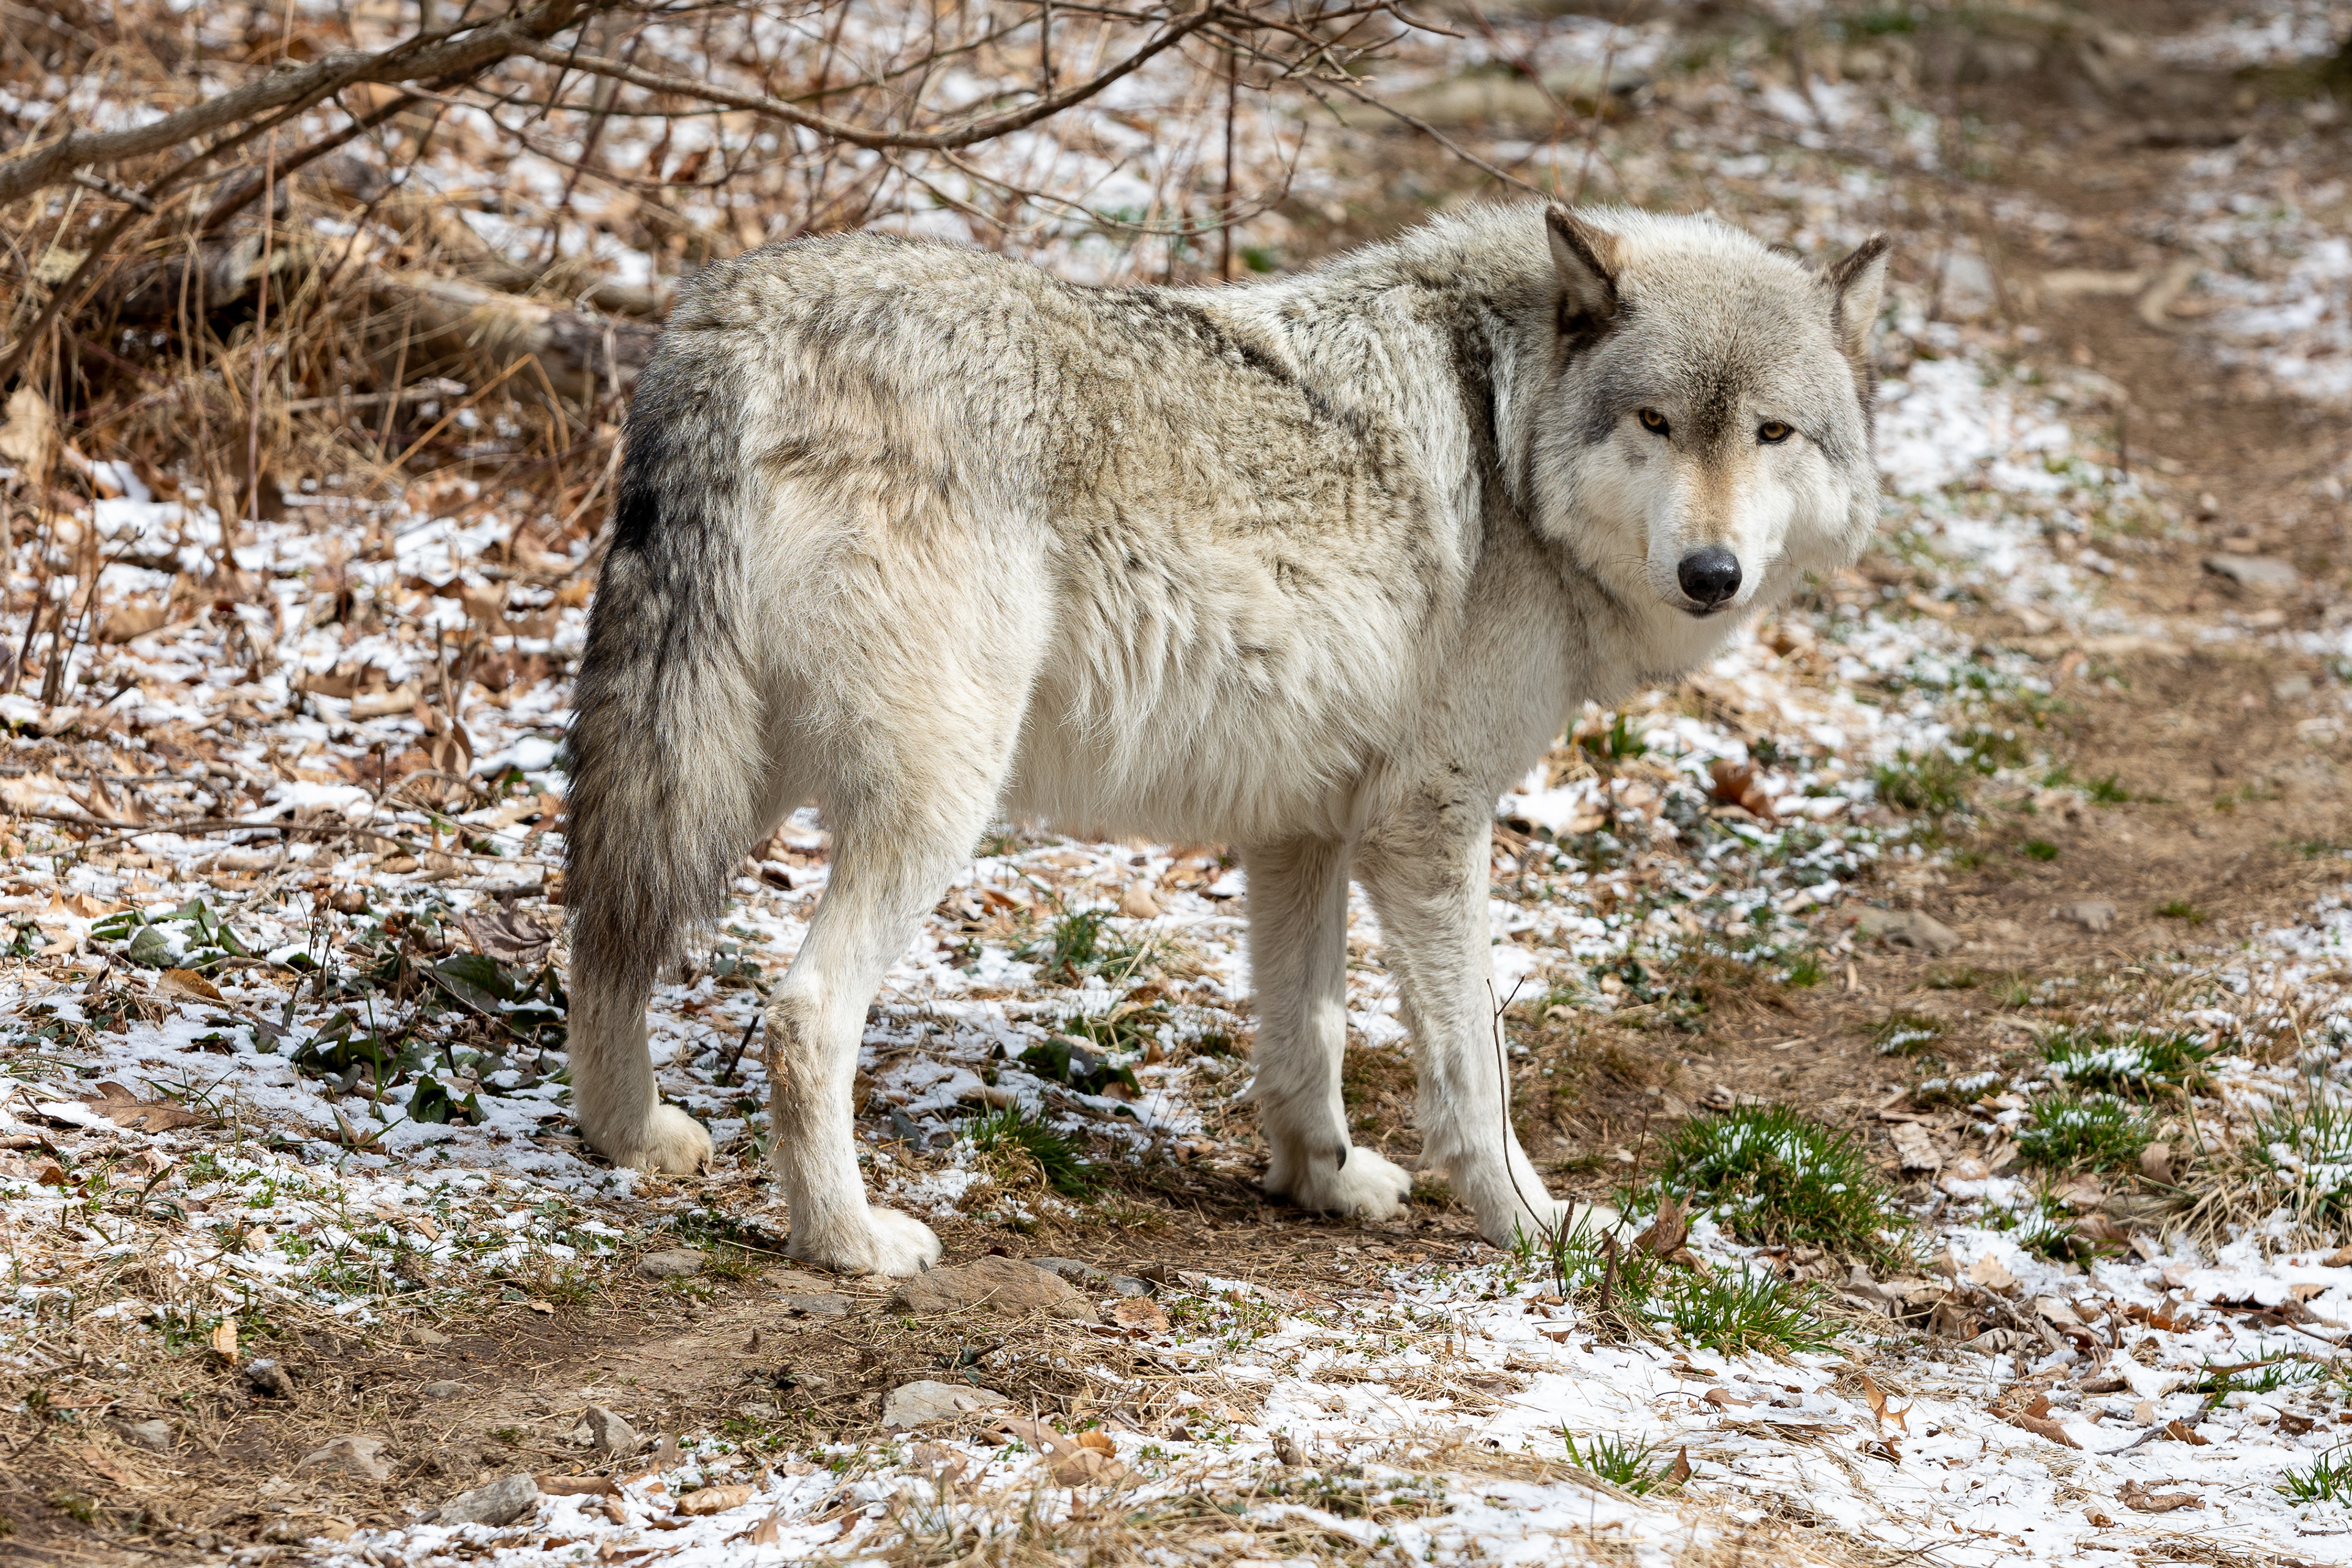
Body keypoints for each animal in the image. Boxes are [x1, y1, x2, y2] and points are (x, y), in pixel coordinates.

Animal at [561, 202, 1890, 1276]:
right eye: (1656, 421)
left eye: (1771, 433)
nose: (1712, 573)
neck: (1510, 440)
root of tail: (733, 318)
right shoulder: (1427, 823)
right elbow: (1474, 1068)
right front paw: (1534, 1226)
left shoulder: (1303, 826)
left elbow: (1310, 1030)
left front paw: (1323, 1181)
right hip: (932, 796)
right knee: (802, 1017)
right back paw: (848, 1244)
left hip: (725, 766)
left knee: (603, 931)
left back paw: (630, 1137)